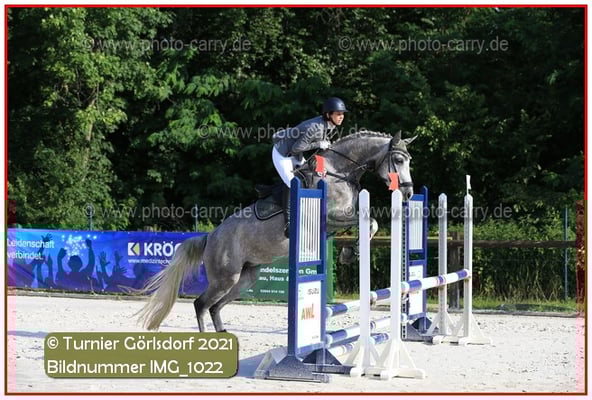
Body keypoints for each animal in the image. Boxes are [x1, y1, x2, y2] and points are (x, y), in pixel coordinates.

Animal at [136, 130, 416, 332]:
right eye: (398, 160)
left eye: (408, 161)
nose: (409, 193)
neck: (338, 172)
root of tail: (210, 237)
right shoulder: (330, 217)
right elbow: (370, 222)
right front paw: (353, 252)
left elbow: (367, 224)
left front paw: (350, 252)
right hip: (225, 277)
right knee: (201, 304)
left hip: (244, 278)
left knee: (215, 307)